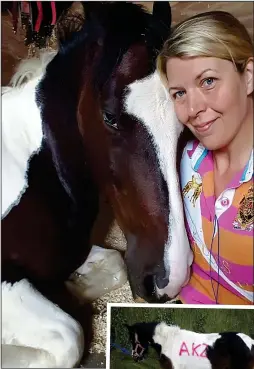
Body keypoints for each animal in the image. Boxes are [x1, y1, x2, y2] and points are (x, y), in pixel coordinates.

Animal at [1, 2, 192, 366]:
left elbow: (114, 264)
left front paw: (73, 289)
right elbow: (70, 337)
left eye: (184, 124)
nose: (167, 280)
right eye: (110, 116)